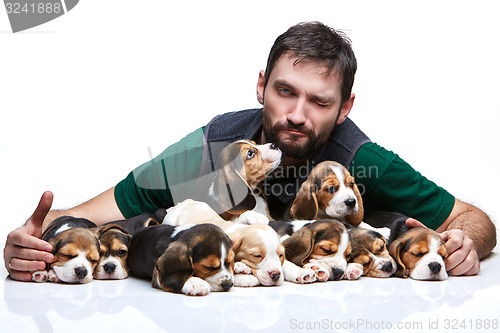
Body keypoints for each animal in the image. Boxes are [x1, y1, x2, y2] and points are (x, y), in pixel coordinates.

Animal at [164, 197, 316, 286]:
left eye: (280, 255)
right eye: (257, 256)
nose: (276, 275)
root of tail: (184, 202)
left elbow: (285, 265)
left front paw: (300, 272)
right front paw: (242, 271)